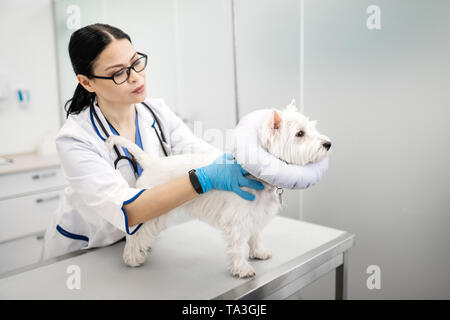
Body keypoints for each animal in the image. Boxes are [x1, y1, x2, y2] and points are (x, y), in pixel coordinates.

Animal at [105, 99, 330, 278]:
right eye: (300, 133)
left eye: (312, 128)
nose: (328, 143)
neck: (255, 177)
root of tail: (151, 163)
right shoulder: (237, 220)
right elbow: (238, 246)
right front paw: (242, 269)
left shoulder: (255, 216)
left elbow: (256, 235)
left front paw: (259, 252)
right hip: (152, 212)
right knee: (134, 234)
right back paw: (133, 258)